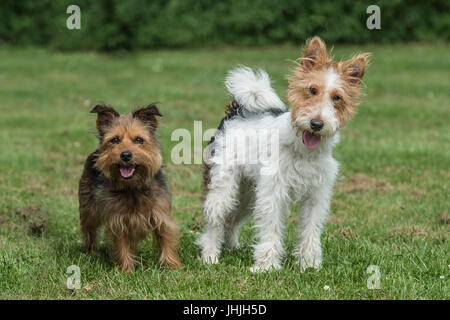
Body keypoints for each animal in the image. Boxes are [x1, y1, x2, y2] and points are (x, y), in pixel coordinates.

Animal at [78, 104, 180, 272]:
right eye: (115, 140)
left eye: (139, 139)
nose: (126, 155)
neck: (133, 187)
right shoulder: (118, 221)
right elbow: (122, 245)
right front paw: (127, 269)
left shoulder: (161, 215)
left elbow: (165, 239)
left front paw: (172, 265)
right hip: (88, 210)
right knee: (89, 231)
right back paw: (91, 253)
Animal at [197, 37, 370, 272]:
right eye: (312, 90)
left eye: (337, 97)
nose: (316, 124)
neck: (303, 151)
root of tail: (236, 112)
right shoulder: (273, 193)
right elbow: (271, 230)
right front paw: (266, 266)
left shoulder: (316, 196)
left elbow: (310, 230)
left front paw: (309, 265)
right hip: (223, 188)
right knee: (215, 222)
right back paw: (210, 256)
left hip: (247, 194)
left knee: (230, 221)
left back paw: (232, 247)